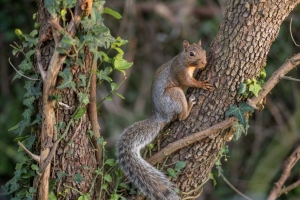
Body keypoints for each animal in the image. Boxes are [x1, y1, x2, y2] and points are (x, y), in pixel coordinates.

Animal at [116, 39, 212, 199]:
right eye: (191, 53)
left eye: (204, 51)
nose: (204, 62)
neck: (183, 60)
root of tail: (161, 115)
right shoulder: (179, 72)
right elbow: (189, 82)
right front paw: (202, 84)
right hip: (175, 94)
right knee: (181, 116)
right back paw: (189, 106)